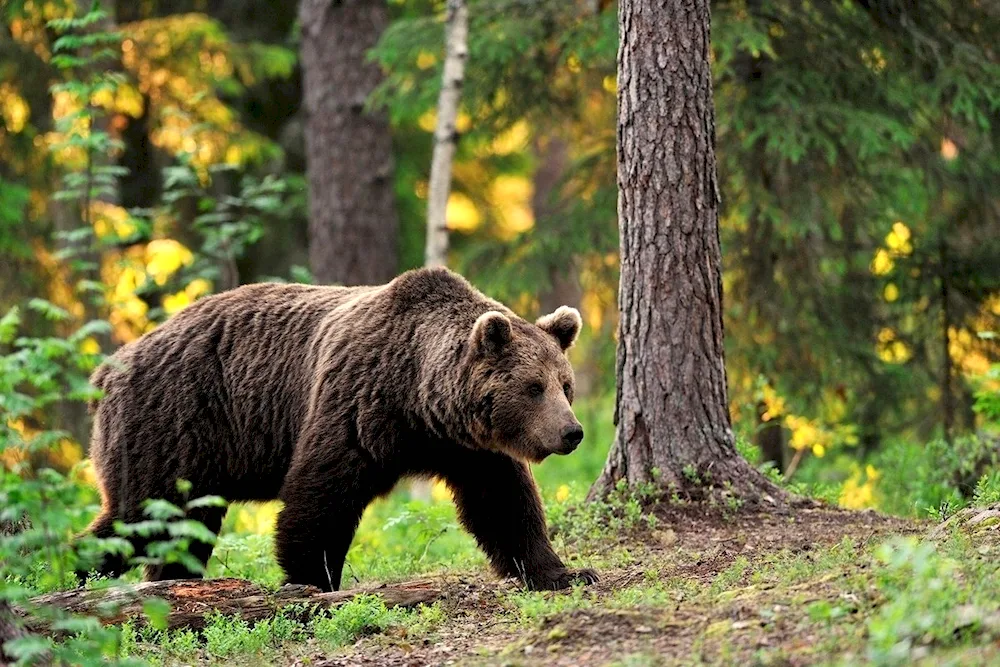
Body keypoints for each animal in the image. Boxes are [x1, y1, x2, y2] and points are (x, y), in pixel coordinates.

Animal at [84, 266, 592, 588]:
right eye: (533, 387)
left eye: (565, 385)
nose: (572, 433)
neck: (419, 400)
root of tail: (110, 368)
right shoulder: (356, 405)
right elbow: (322, 496)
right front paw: (312, 580)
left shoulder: (469, 448)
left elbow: (504, 505)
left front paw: (562, 573)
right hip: (173, 424)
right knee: (143, 516)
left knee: (180, 528)